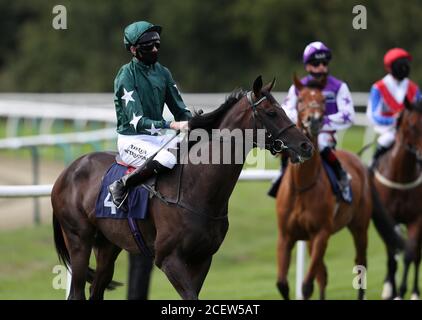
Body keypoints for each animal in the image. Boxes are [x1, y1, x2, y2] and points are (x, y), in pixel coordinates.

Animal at [50, 77, 314, 300]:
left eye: (284, 109)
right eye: (272, 112)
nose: (306, 145)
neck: (196, 190)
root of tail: (66, 172)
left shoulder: (202, 258)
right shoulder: (168, 259)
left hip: (107, 245)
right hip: (79, 239)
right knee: (77, 292)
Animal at [276, 77, 370, 300]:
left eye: (322, 100)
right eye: (300, 99)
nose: (315, 120)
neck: (302, 186)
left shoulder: (321, 234)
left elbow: (306, 286)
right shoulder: (286, 236)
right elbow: (283, 284)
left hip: (360, 226)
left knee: (360, 264)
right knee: (323, 274)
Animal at [372, 99, 422, 298]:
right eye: (412, 125)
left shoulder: (416, 219)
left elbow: (409, 256)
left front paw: (402, 292)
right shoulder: (388, 219)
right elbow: (392, 258)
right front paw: (391, 291)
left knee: (416, 255)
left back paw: (414, 291)